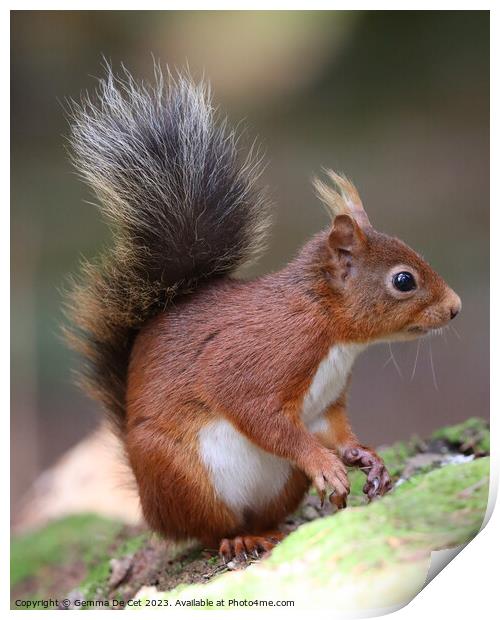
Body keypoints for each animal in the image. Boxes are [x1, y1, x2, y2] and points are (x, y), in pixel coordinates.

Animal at [65, 66, 460, 560]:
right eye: (403, 281)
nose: (455, 309)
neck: (332, 333)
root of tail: (151, 503)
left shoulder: (326, 404)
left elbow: (335, 429)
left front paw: (365, 457)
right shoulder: (261, 357)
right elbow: (259, 415)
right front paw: (325, 464)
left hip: (279, 483)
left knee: (263, 514)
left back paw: (274, 527)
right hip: (184, 476)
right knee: (209, 531)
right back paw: (240, 538)